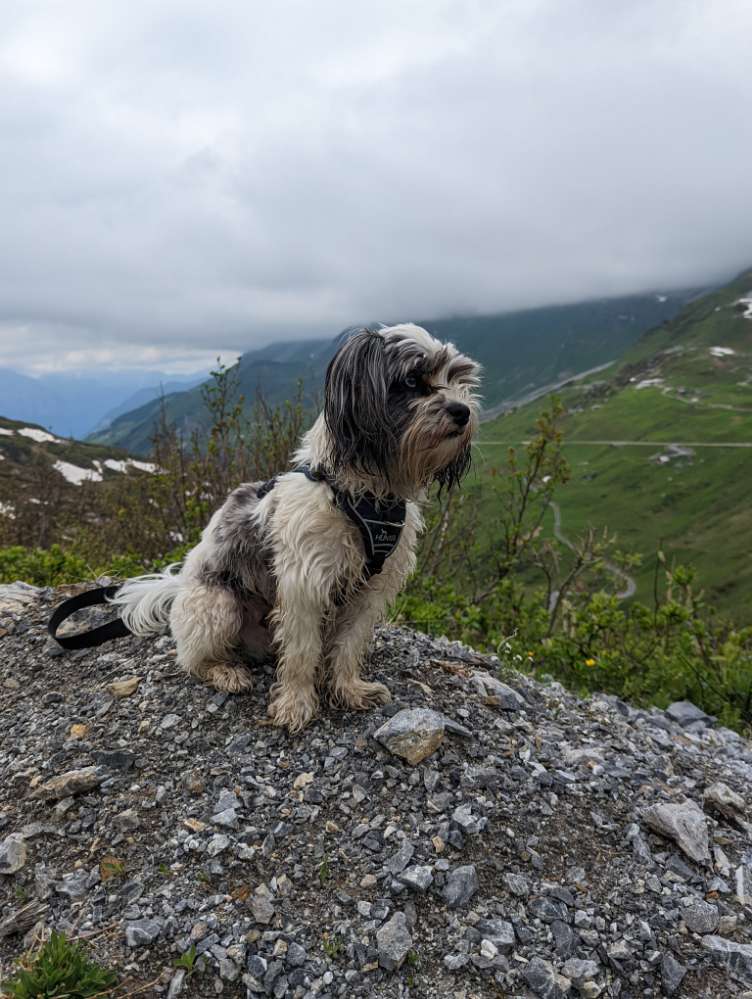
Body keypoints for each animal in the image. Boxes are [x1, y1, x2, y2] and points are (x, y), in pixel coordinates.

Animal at [109, 324, 478, 732]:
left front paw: (348, 689)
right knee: (194, 660)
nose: (462, 412)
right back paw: (226, 671)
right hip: (218, 605)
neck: (365, 496)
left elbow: (348, 645)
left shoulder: (369, 592)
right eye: (413, 380)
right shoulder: (305, 586)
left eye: (457, 378)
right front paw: (296, 704)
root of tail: (178, 587)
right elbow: (302, 653)